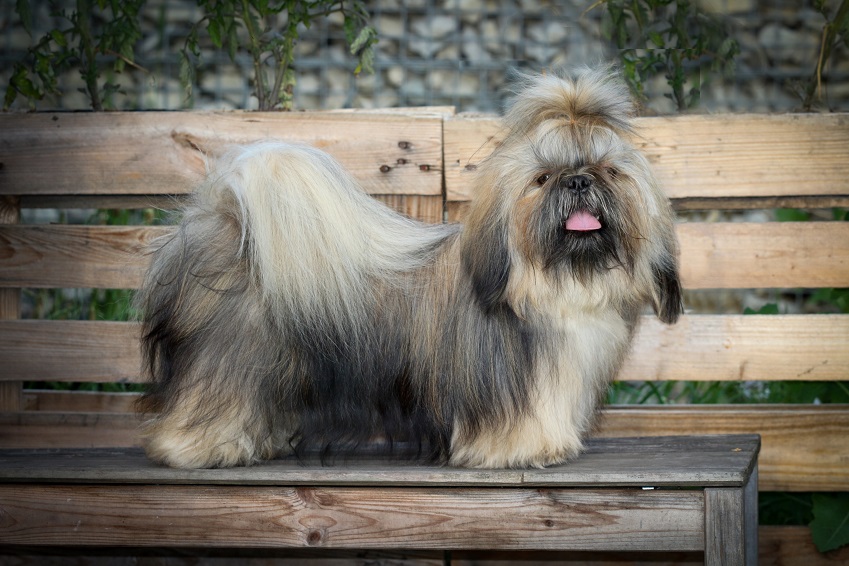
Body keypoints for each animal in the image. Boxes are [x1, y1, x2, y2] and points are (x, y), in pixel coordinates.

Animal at [137, 67, 682, 469]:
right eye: (543, 178)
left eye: (609, 171)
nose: (577, 181)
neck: (553, 282)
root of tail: (227, 226)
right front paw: (526, 449)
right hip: (232, 361)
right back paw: (202, 448)